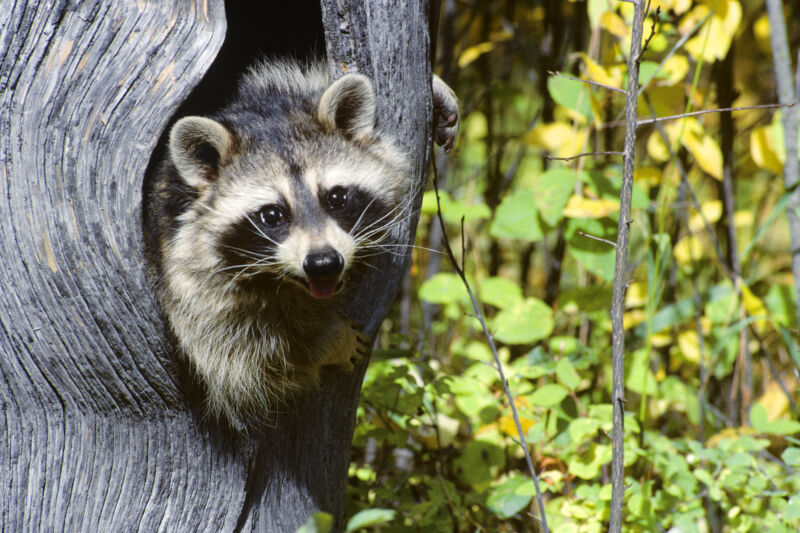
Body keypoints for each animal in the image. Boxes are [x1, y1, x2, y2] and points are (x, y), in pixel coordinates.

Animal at [142, 58, 456, 428]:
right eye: (272, 215)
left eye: (336, 197)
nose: (324, 263)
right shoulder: (181, 266)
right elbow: (241, 360)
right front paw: (323, 343)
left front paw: (436, 86)